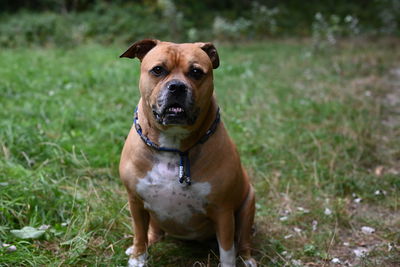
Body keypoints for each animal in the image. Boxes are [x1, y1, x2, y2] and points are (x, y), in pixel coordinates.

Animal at [119, 39, 256, 267]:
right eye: (158, 70)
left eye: (196, 72)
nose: (177, 86)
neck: (173, 148)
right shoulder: (135, 202)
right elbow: (139, 233)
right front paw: (138, 257)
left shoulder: (223, 211)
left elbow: (227, 250)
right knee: (152, 233)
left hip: (248, 204)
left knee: (243, 239)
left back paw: (247, 258)